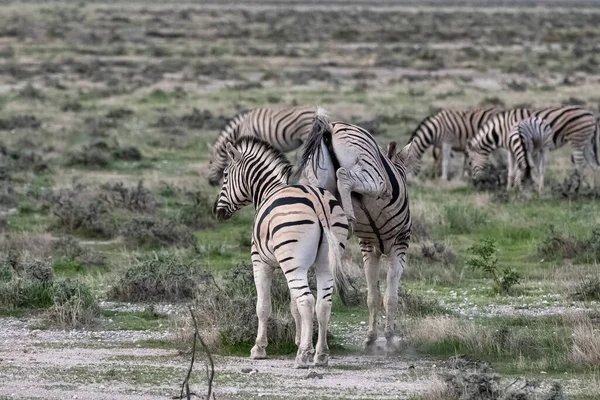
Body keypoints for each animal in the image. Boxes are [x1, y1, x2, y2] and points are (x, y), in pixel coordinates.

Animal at [213, 136, 350, 368]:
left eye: (225, 176)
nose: (218, 212)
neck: (267, 190)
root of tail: (318, 200)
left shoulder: (261, 262)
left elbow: (263, 306)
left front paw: (259, 348)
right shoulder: (299, 266)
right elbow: (293, 306)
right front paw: (299, 340)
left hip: (292, 263)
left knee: (307, 302)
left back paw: (303, 356)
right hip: (323, 264)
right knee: (323, 304)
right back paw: (320, 354)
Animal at [298, 108, 410, 350]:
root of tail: (330, 126)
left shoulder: (369, 248)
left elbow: (373, 296)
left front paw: (371, 337)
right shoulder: (399, 244)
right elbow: (391, 296)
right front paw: (389, 337)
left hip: (318, 178)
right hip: (374, 176)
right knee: (344, 176)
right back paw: (349, 217)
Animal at [468, 104, 600, 189]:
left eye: (470, 163)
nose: (476, 183)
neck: (501, 130)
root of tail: (591, 113)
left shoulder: (517, 147)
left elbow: (518, 169)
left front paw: (518, 188)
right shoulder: (513, 150)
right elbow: (512, 170)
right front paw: (510, 189)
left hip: (578, 140)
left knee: (580, 165)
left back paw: (576, 189)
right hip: (587, 143)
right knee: (594, 165)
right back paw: (593, 189)